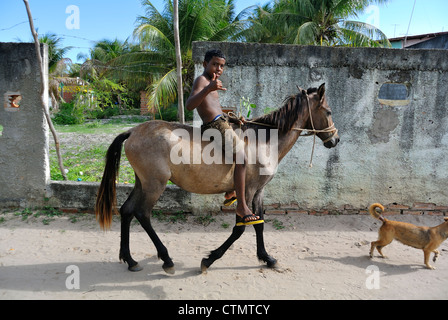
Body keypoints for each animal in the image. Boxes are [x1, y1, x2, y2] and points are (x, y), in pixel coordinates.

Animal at [94, 82, 340, 272]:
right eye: (328, 112)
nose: (335, 139)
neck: (264, 141)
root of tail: (133, 132)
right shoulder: (246, 191)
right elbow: (241, 227)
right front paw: (209, 259)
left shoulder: (258, 191)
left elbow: (259, 223)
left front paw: (267, 258)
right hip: (155, 185)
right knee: (142, 214)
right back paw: (166, 259)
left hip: (142, 182)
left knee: (127, 210)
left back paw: (130, 260)